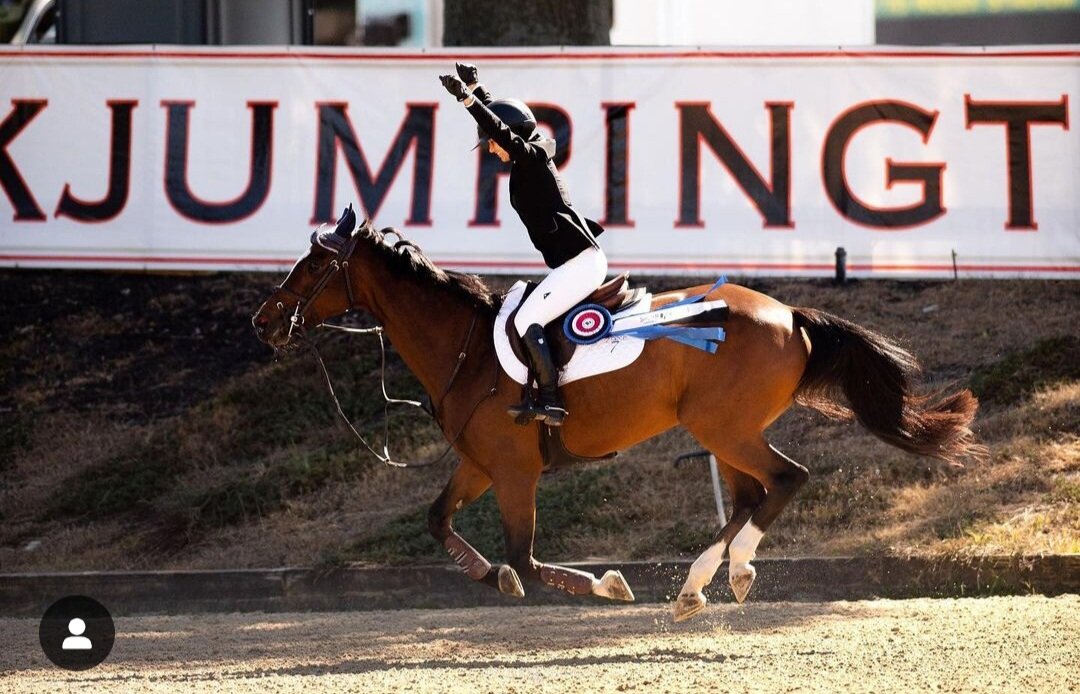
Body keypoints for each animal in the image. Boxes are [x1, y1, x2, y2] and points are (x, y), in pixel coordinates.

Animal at [252, 214, 989, 621]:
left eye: (314, 263)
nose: (263, 321)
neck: (466, 347)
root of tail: (790, 314)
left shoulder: (514, 472)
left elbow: (527, 555)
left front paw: (603, 585)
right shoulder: (480, 464)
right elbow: (440, 521)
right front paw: (493, 577)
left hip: (723, 428)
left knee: (786, 480)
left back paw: (726, 573)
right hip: (725, 433)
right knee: (750, 495)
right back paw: (701, 585)